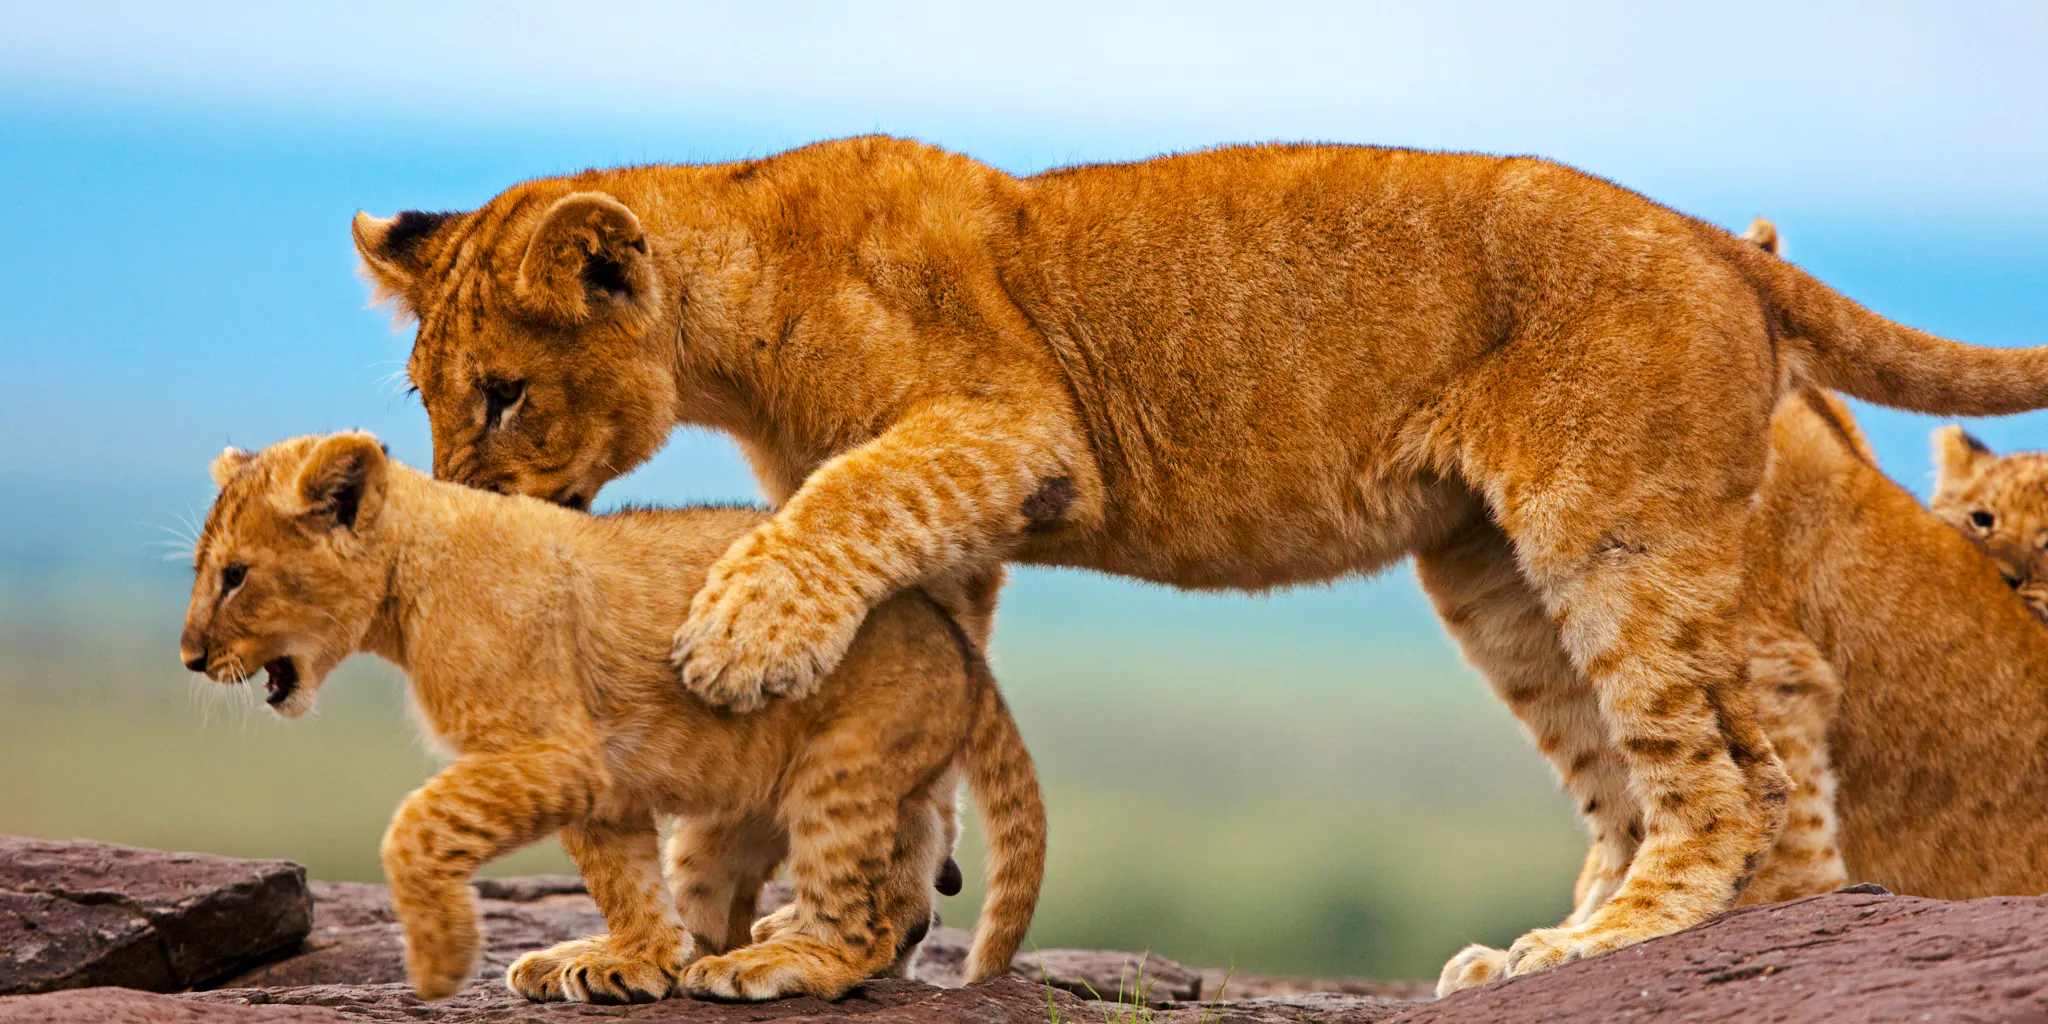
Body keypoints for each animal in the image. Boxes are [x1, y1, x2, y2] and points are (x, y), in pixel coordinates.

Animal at [175, 432, 1046, 1002]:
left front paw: (442, 958)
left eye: (234, 577)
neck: (405, 587)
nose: (188, 657)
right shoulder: (601, 778)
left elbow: (417, 824)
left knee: (861, 931)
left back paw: (774, 965)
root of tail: (963, 649)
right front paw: (637, 961)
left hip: (845, 771)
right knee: (739, 898)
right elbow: (623, 875)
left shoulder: (558, 755)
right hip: (736, 812)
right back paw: (652, 954)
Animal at [351, 136, 2048, 979]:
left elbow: (825, 532)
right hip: (1491, 570)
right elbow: (903, 706)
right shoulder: (952, 528)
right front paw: (802, 935)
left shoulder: (1007, 429)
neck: (736, 293)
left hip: (1607, 527)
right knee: (1698, 725)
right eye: (431, 397)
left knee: (1721, 753)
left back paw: (1603, 946)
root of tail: (1713, 237)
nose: (461, 498)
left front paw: (736, 649)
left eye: (500, 395)